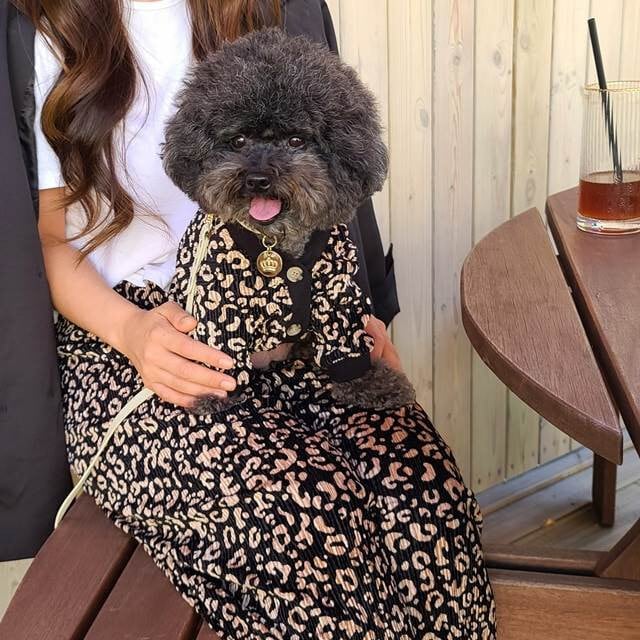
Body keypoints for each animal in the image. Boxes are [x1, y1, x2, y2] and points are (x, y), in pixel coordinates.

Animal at [161, 27, 415, 412]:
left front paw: (370, 384)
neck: (277, 239)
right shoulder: (216, 303)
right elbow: (218, 355)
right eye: (238, 140)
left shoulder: (338, 295)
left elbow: (347, 346)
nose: (257, 179)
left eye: (297, 140)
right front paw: (212, 395)